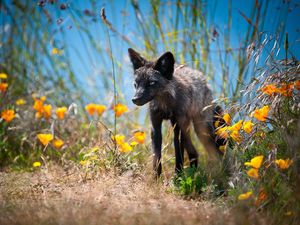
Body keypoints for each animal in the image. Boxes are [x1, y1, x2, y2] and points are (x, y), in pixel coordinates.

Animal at [127, 48, 225, 177]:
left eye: (151, 82)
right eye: (136, 83)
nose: (135, 99)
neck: (165, 106)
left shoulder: (177, 127)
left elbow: (178, 155)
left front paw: (178, 176)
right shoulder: (155, 127)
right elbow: (156, 157)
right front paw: (156, 178)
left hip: (201, 130)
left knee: (215, 152)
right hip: (190, 131)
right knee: (194, 153)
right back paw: (194, 172)